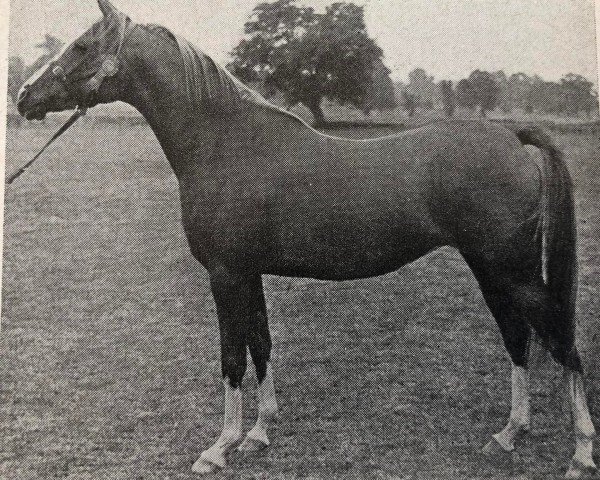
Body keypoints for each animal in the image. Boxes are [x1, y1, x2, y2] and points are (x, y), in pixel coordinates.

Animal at [17, 1, 596, 476]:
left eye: (82, 46)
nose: (24, 96)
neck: (227, 145)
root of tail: (510, 135)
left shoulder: (225, 274)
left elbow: (232, 356)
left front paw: (219, 447)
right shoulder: (247, 273)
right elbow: (261, 343)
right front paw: (258, 433)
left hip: (515, 271)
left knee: (563, 343)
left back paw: (581, 454)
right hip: (490, 268)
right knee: (518, 339)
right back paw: (508, 435)